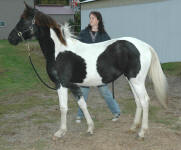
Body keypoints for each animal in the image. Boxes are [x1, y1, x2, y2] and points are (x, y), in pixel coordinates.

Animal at [7, 3, 168, 139]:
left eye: (23, 21)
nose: (10, 38)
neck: (59, 51)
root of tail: (144, 45)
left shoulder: (61, 84)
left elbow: (63, 107)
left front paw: (60, 132)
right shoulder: (74, 86)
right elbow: (82, 104)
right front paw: (90, 127)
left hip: (137, 81)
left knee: (145, 100)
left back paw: (142, 132)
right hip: (131, 80)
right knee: (138, 101)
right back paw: (133, 127)